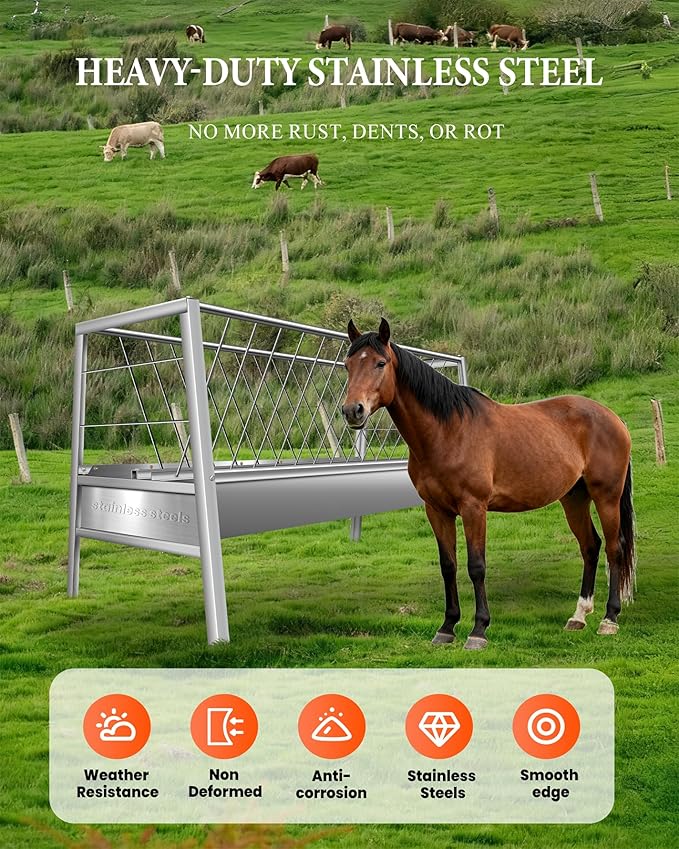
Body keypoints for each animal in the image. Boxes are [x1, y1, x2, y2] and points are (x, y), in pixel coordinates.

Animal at [342, 319, 636, 650]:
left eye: (380, 363)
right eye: (348, 365)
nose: (353, 410)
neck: (448, 432)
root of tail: (613, 418)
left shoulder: (474, 508)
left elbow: (476, 566)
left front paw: (478, 630)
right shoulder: (437, 510)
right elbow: (448, 566)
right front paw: (447, 627)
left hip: (606, 496)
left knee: (614, 548)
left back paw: (609, 619)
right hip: (574, 498)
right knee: (590, 546)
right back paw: (579, 616)